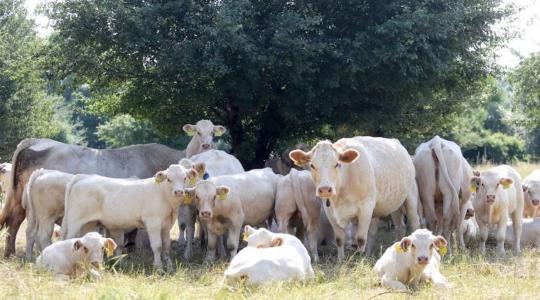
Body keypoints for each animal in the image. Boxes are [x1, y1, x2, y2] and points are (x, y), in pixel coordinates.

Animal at [0, 139, 184, 258]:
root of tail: (34, 142)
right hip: (45, 213)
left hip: (23, 204)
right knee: (37, 232)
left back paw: (14, 253)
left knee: (18, 225)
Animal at [63, 164, 198, 272]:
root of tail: (84, 176)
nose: (178, 192)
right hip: (75, 221)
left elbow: (166, 247)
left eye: (185, 178)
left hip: (89, 222)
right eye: (169, 179)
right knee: (69, 239)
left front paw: (170, 268)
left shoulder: (166, 226)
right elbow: (157, 246)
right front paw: (158, 268)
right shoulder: (153, 223)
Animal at [292, 137, 422, 262]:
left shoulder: (366, 207)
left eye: (337, 164)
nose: (324, 189)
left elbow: (360, 239)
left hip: (411, 195)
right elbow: (339, 238)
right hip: (394, 204)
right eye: (312, 165)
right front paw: (340, 260)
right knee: (399, 226)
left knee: (414, 222)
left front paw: (360, 260)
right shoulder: (329, 210)